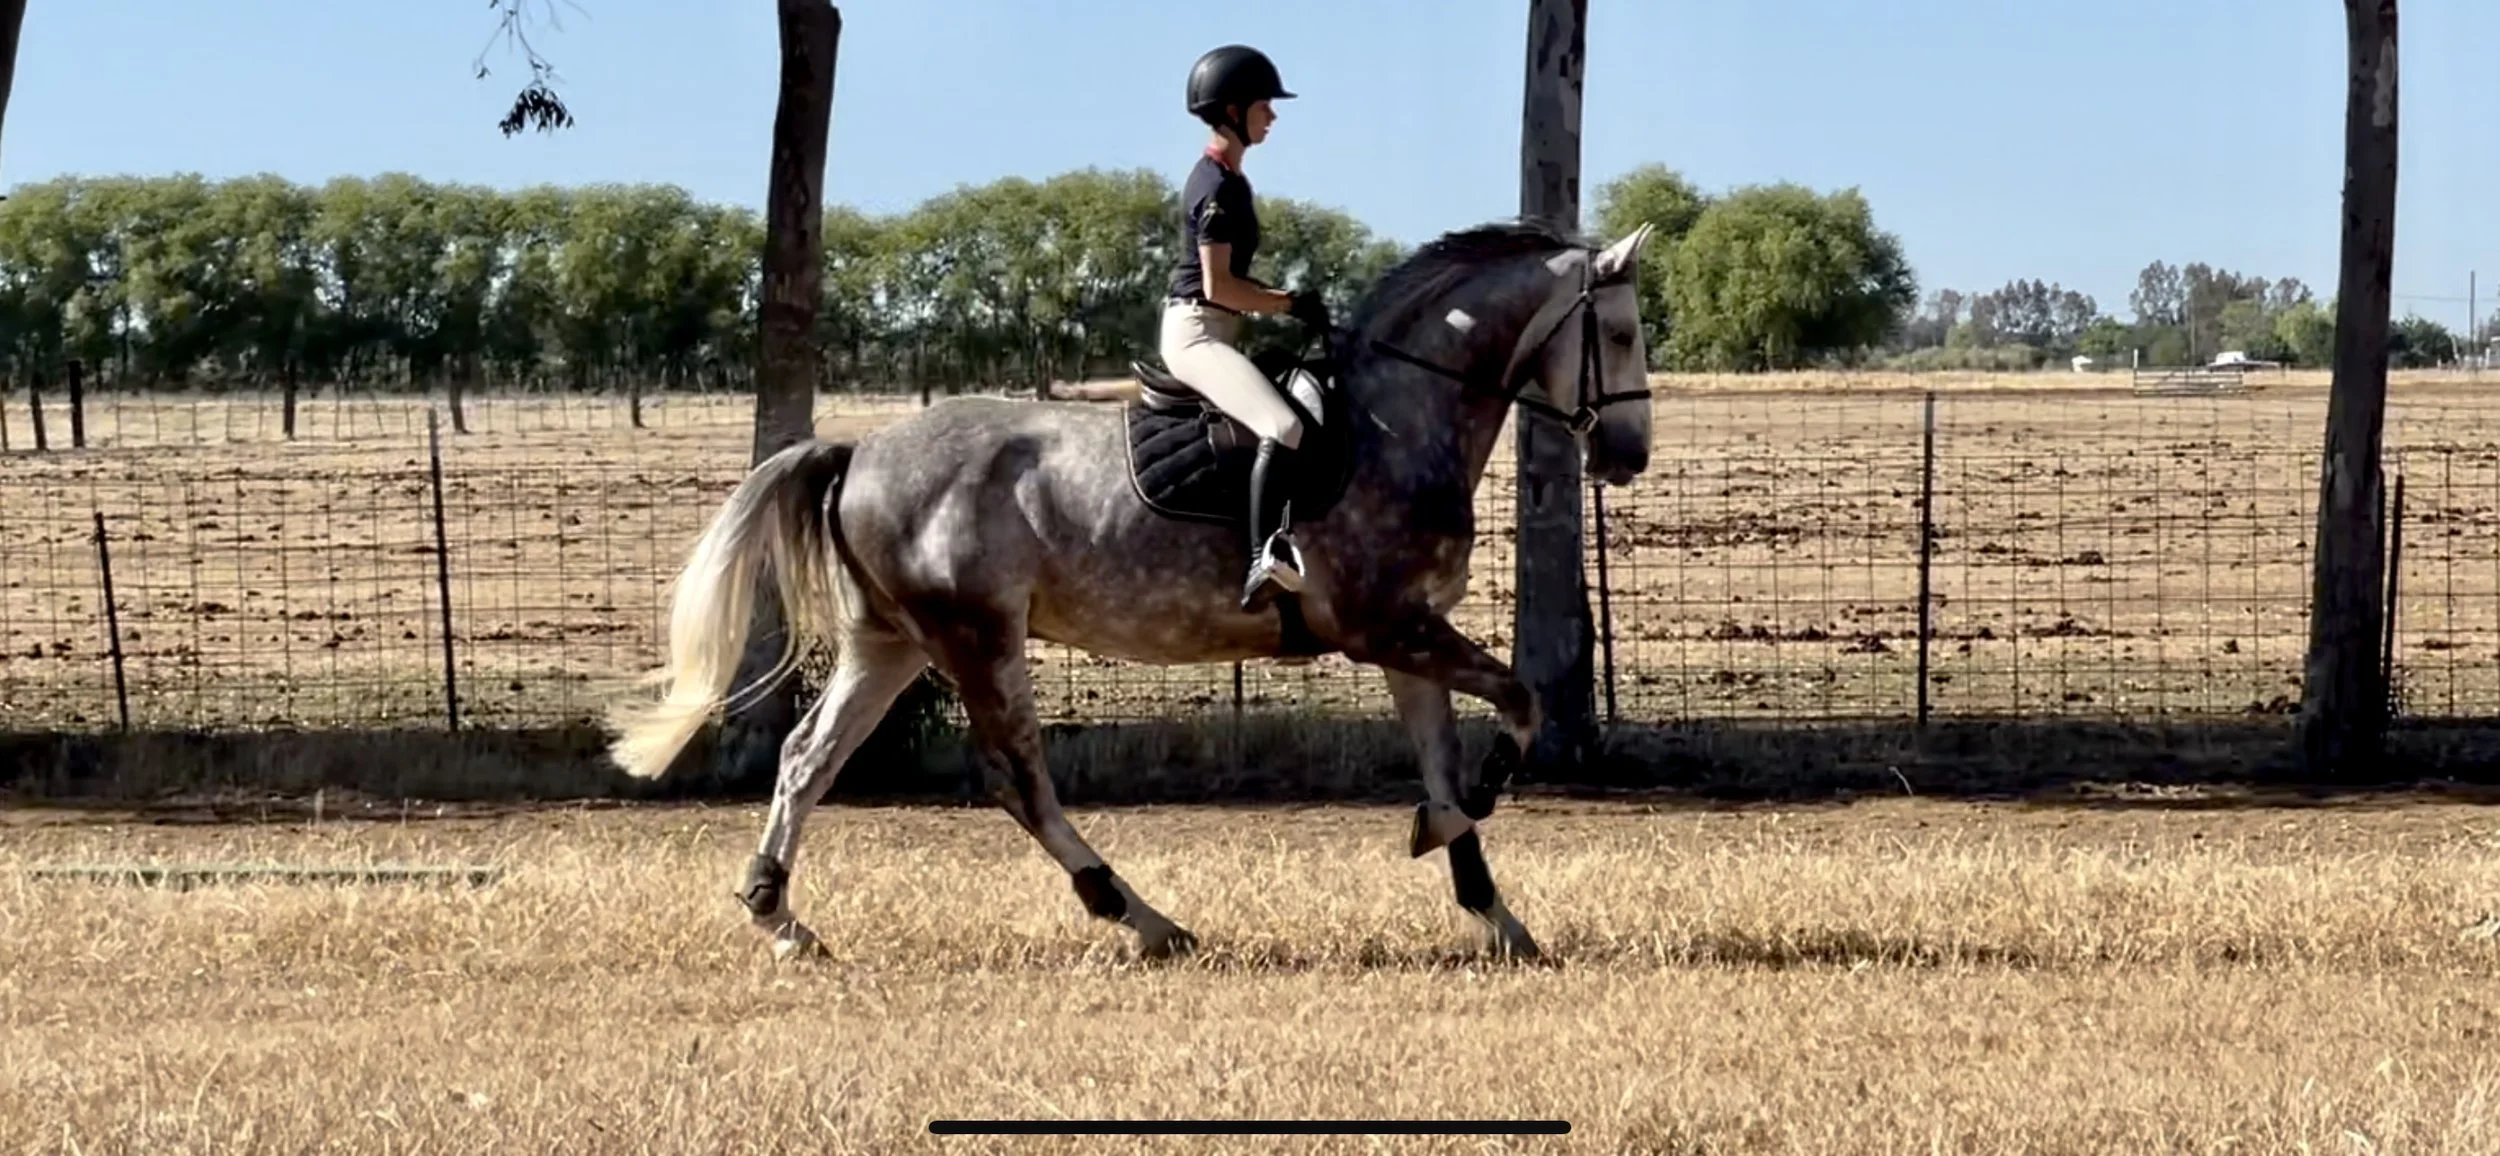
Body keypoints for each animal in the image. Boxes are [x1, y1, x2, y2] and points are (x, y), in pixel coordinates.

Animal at [606, 216, 1661, 963]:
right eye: (1618, 332)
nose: (1628, 456)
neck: (1399, 422)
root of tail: (859, 450)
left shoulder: (1409, 635)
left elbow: (1449, 760)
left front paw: (1497, 916)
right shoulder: (1383, 626)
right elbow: (1519, 706)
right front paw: (1455, 820)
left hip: (892, 643)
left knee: (807, 758)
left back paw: (779, 918)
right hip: (976, 637)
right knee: (1016, 779)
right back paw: (1143, 919)